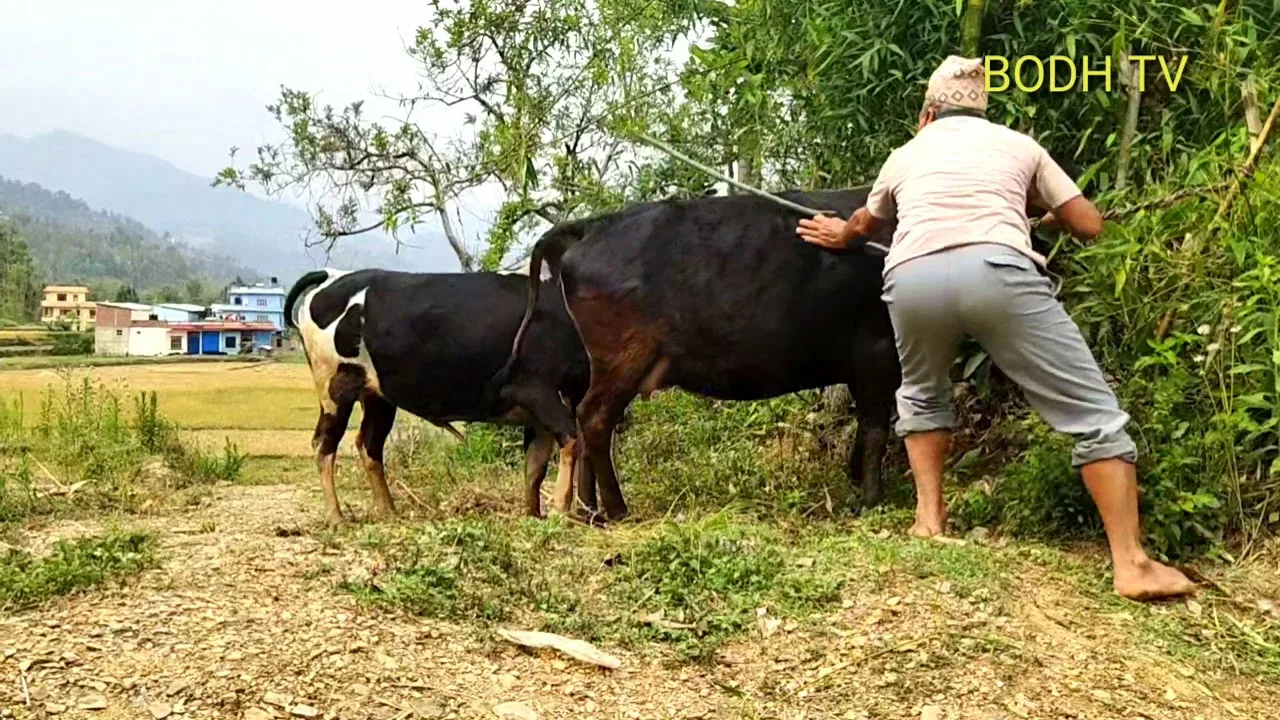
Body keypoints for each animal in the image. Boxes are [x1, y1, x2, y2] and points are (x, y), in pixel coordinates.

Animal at [284, 268, 591, 526]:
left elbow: (535, 467)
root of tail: (332, 275)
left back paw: (388, 511)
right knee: (324, 444)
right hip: (336, 388)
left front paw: (534, 515)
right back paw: (337, 517)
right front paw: (560, 511)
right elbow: (571, 442)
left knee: (369, 445)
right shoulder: (540, 393)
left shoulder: (540, 415)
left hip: (378, 398)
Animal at [498, 188, 901, 522]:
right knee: (594, 418)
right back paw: (617, 509)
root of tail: (596, 225)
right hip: (625, 356)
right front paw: (871, 499)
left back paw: (588, 509)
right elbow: (875, 430)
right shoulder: (878, 352)